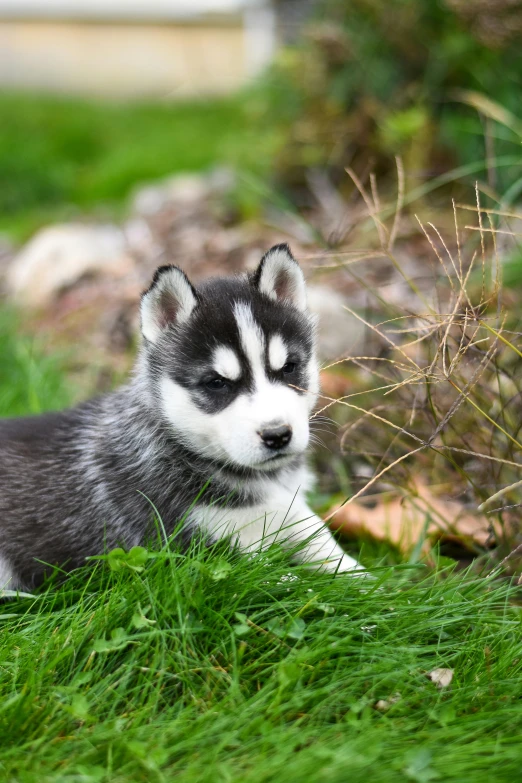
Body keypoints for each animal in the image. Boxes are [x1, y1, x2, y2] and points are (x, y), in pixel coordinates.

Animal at [0, 245, 362, 588]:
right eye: (216, 383)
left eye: (288, 368)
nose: (277, 435)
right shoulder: (211, 552)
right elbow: (293, 585)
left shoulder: (289, 512)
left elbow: (332, 553)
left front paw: (369, 586)